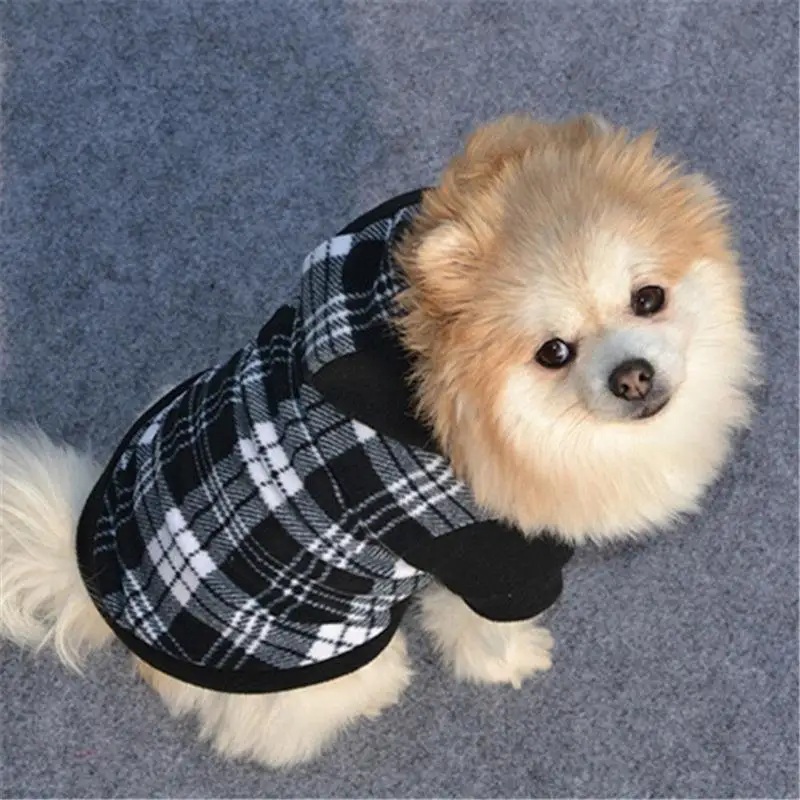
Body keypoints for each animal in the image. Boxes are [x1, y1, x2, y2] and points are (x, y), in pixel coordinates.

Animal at [0, 113, 758, 767]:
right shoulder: (493, 561)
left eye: (649, 298)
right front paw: (511, 663)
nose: (633, 376)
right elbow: (486, 629)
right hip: (337, 654)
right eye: (553, 353)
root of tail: (96, 593)